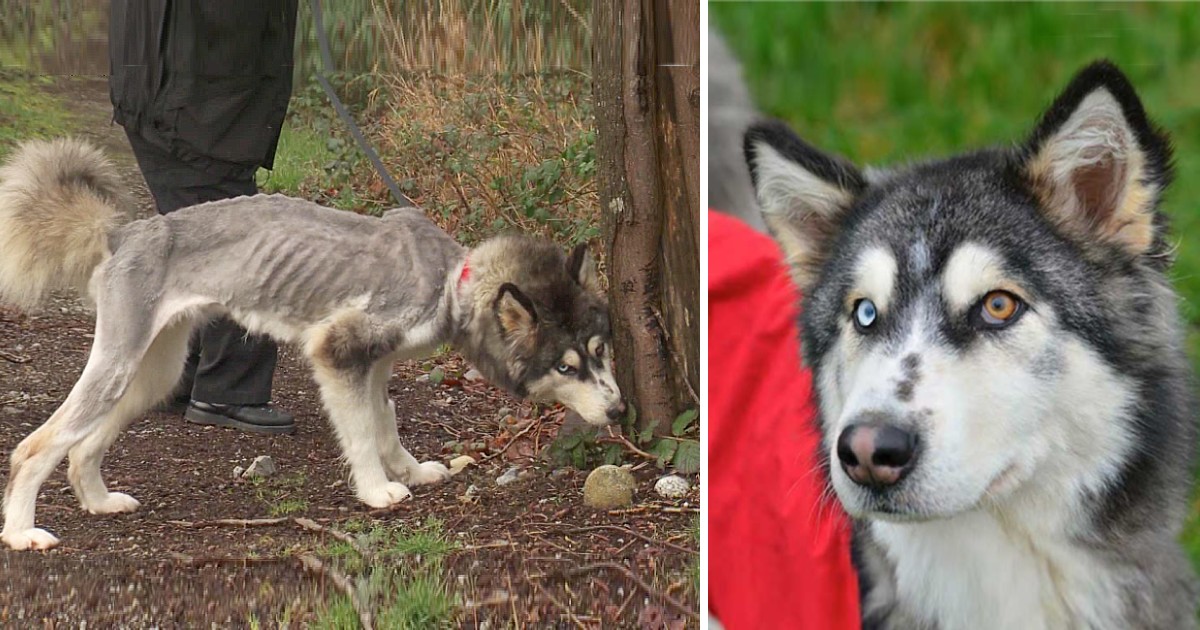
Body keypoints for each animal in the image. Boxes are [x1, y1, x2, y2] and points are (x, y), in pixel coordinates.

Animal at [0, 138, 624, 549]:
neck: (453, 279)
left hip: (152, 373)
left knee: (82, 445)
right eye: (565, 367)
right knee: (35, 447)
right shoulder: (336, 352)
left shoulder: (375, 366)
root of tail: (126, 231)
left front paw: (410, 471)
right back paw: (23, 532)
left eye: (601, 351)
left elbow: (386, 420)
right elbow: (362, 433)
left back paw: (99, 501)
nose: (620, 411)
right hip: (117, 367)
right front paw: (376, 490)